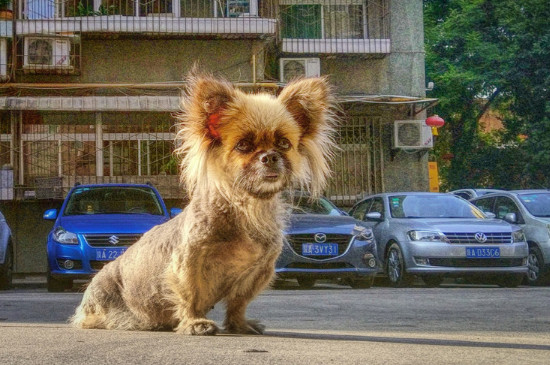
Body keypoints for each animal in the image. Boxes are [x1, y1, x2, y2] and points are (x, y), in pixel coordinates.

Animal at [71, 74, 338, 336]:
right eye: (243, 145)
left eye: (283, 144)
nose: (269, 157)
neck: (246, 207)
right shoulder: (189, 261)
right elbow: (189, 295)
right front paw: (194, 323)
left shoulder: (257, 273)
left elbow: (239, 302)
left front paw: (239, 324)